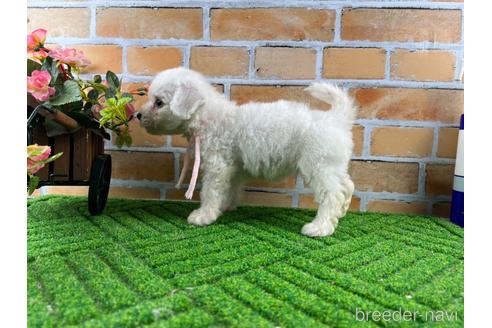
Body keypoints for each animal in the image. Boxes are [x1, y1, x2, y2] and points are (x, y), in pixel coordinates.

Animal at [138, 67, 358, 236]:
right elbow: (230, 188)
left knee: (333, 193)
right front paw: (224, 207)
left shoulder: (217, 166)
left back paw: (320, 227)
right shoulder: (234, 167)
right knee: (347, 185)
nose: (138, 115)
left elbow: (209, 191)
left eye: (158, 102)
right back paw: (342, 212)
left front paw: (203, 215)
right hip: (333, 165)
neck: (209, 118)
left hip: (318, 165)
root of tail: (336, 118)